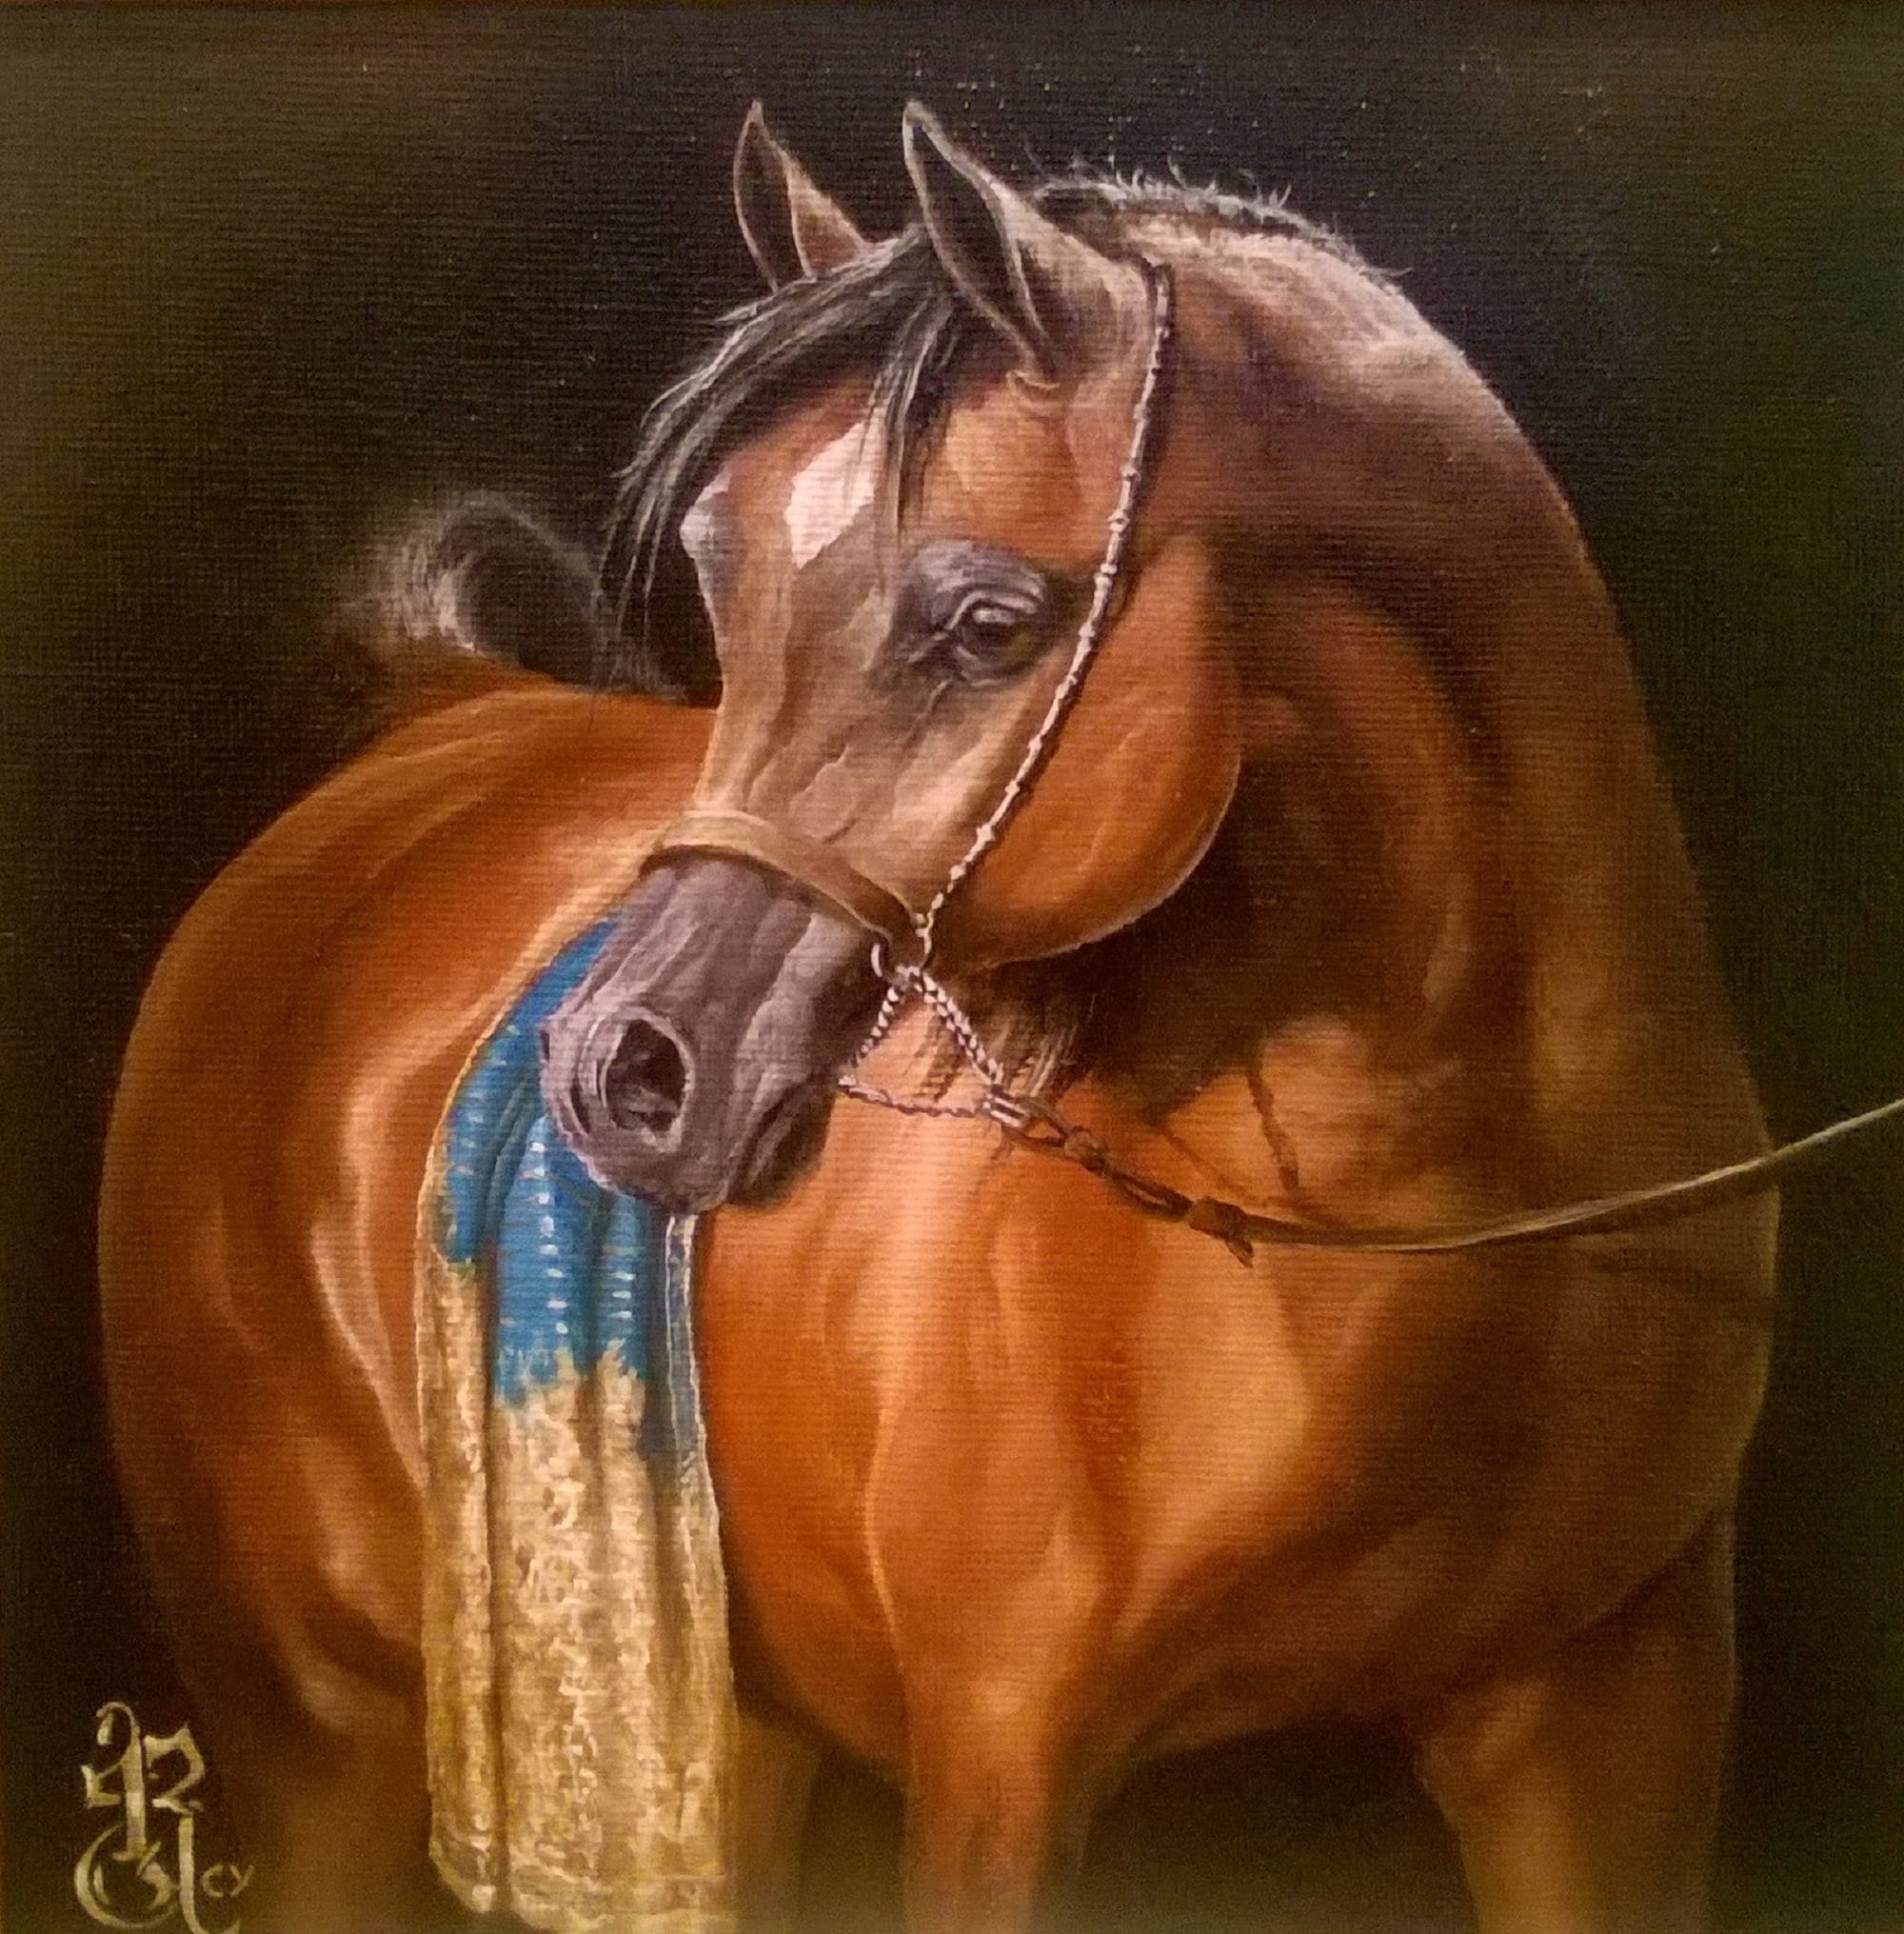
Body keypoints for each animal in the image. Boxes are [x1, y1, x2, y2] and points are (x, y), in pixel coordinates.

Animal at [99, 103, 1778, 1934]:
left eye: (986, 625)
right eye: (724, 591)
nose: (624, 1075)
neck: (1420, 1217)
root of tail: (436, 717)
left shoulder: (1606, 1728)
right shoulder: (1001, 1766)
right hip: (315, 1734)